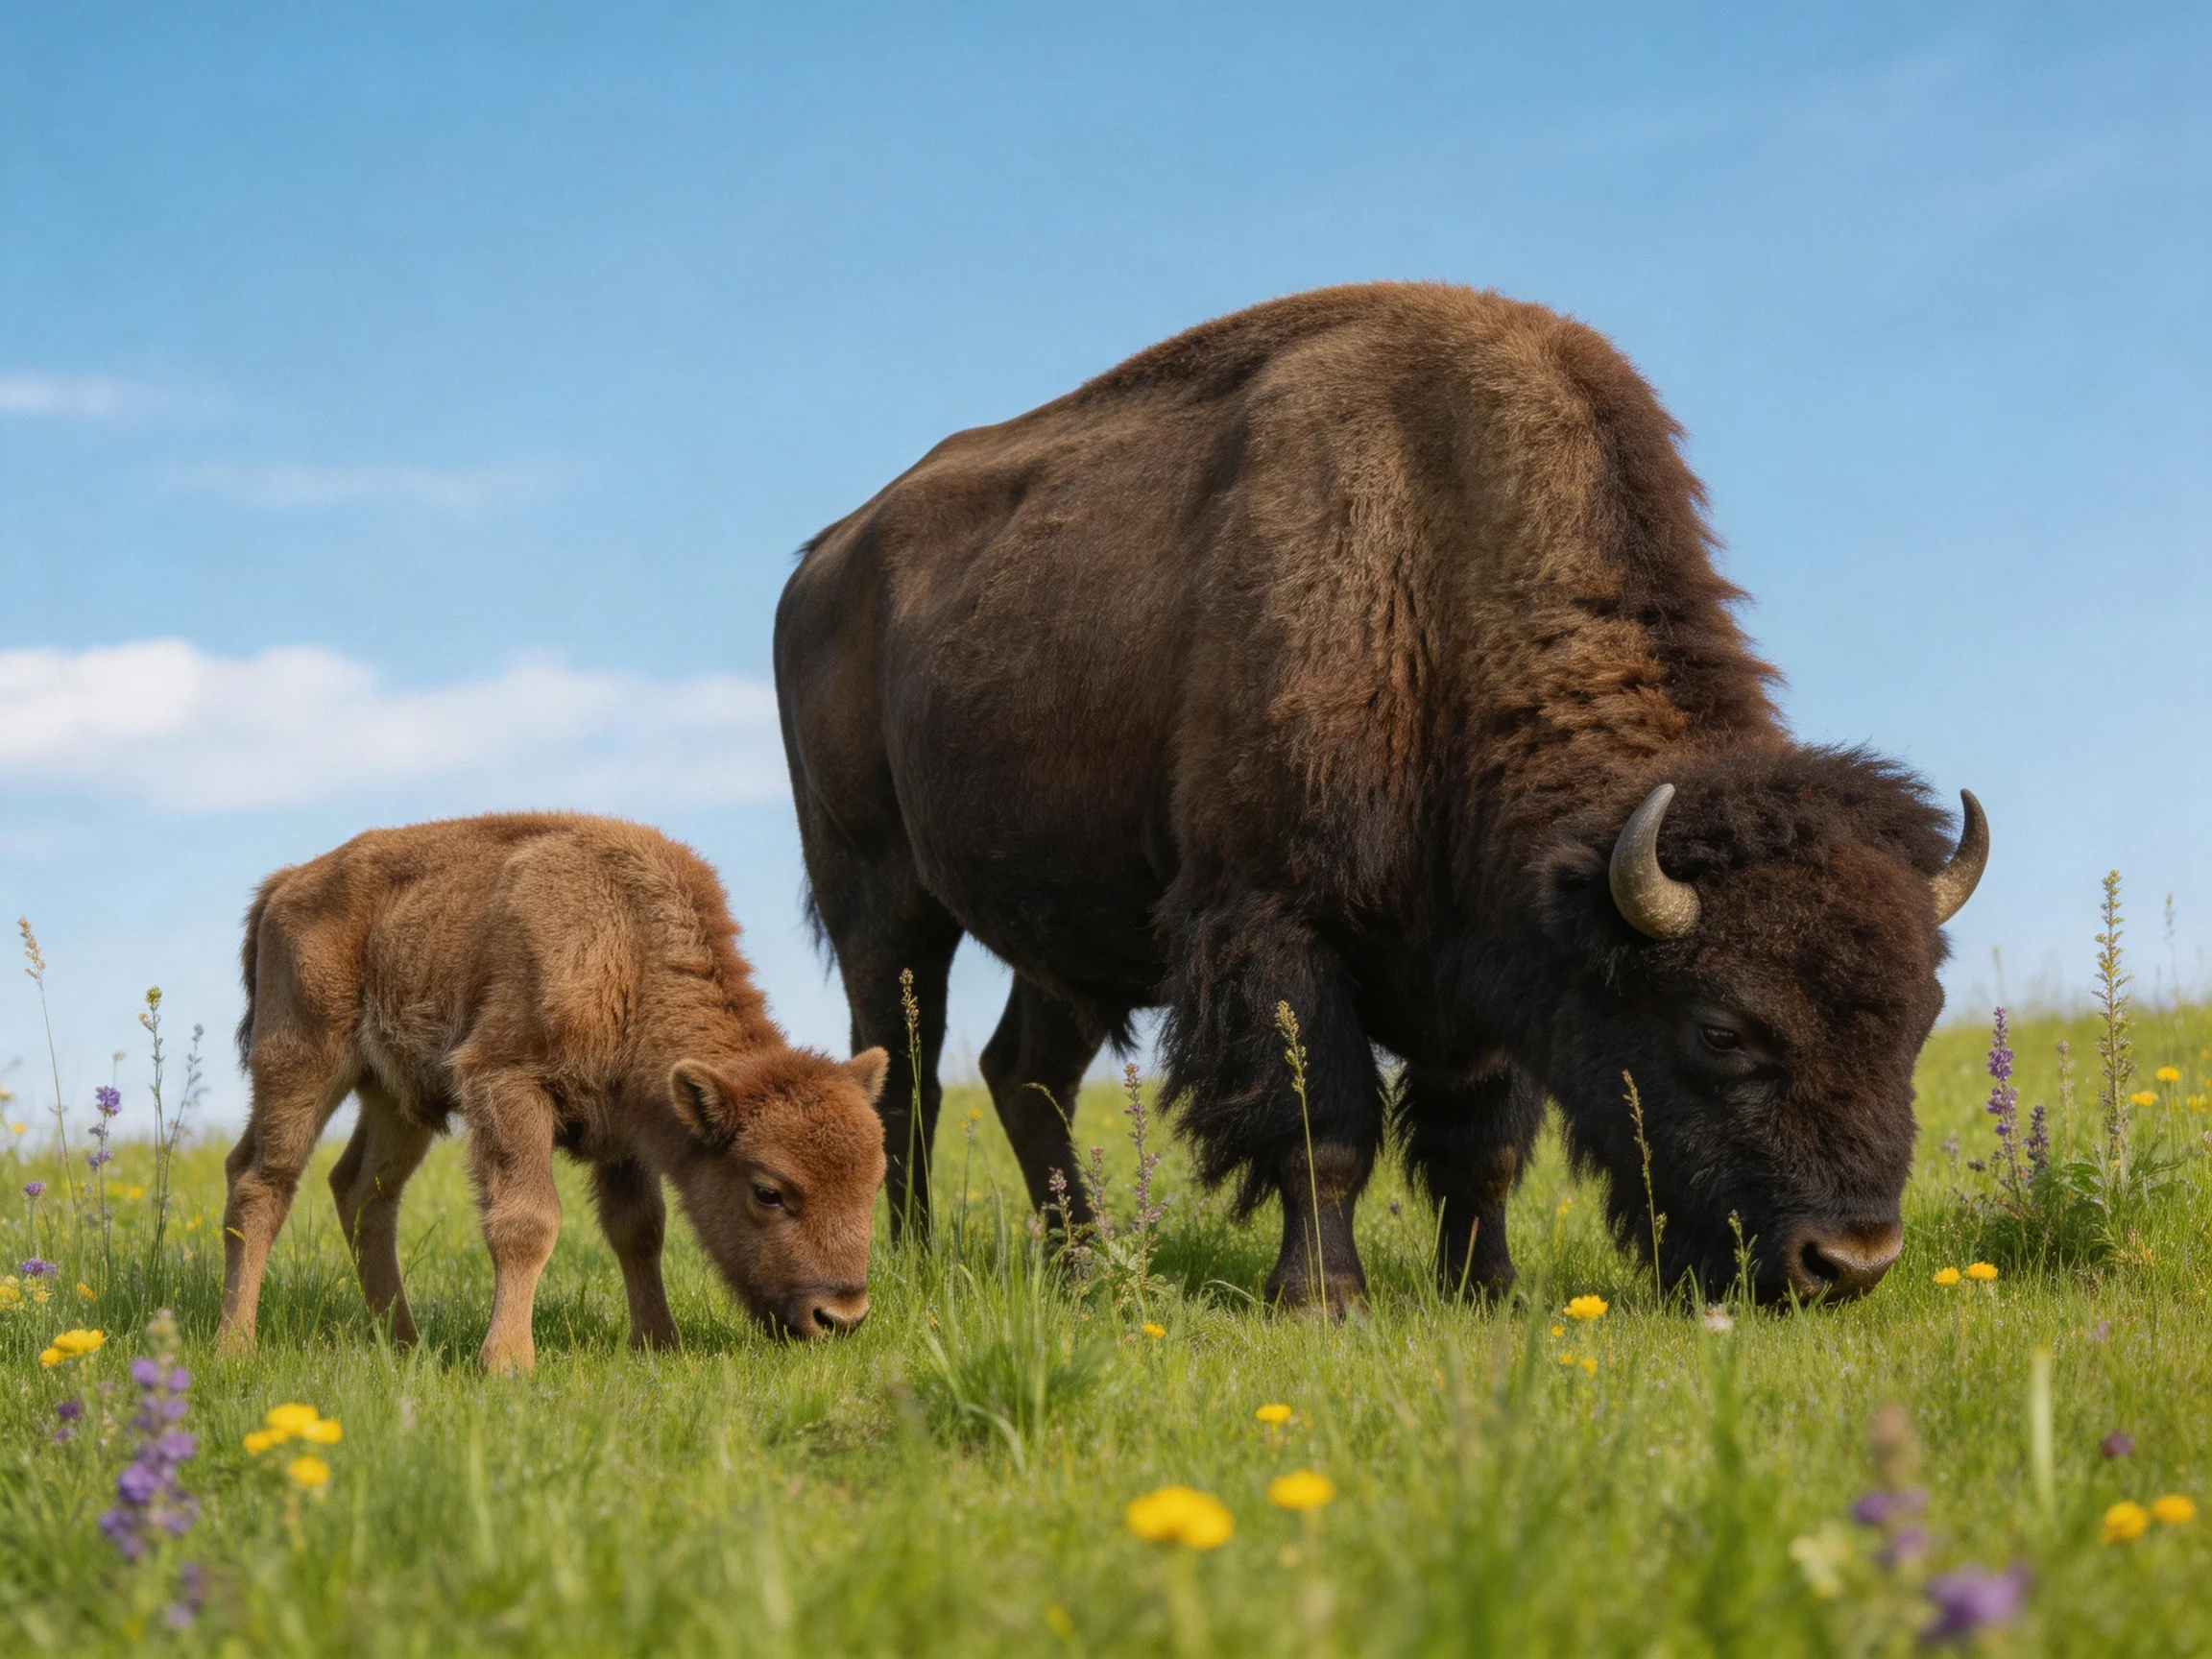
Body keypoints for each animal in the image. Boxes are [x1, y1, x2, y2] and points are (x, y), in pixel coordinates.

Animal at [775, 282, 1984, 1311]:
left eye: (1924, 1014)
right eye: (1722, 1030)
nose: (1848, 1260)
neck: (1438, 562)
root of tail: (823, 557)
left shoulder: (1483, 961)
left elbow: (1479, 1147)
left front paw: (1488, 1292)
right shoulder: (1277, 924)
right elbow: (1327, 1127)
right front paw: (1322, 1299)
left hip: (1071, 931)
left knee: (1024, 1074)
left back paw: (1082, 1269)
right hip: (879, 903)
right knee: (905, 1075)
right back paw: (911, 1260)